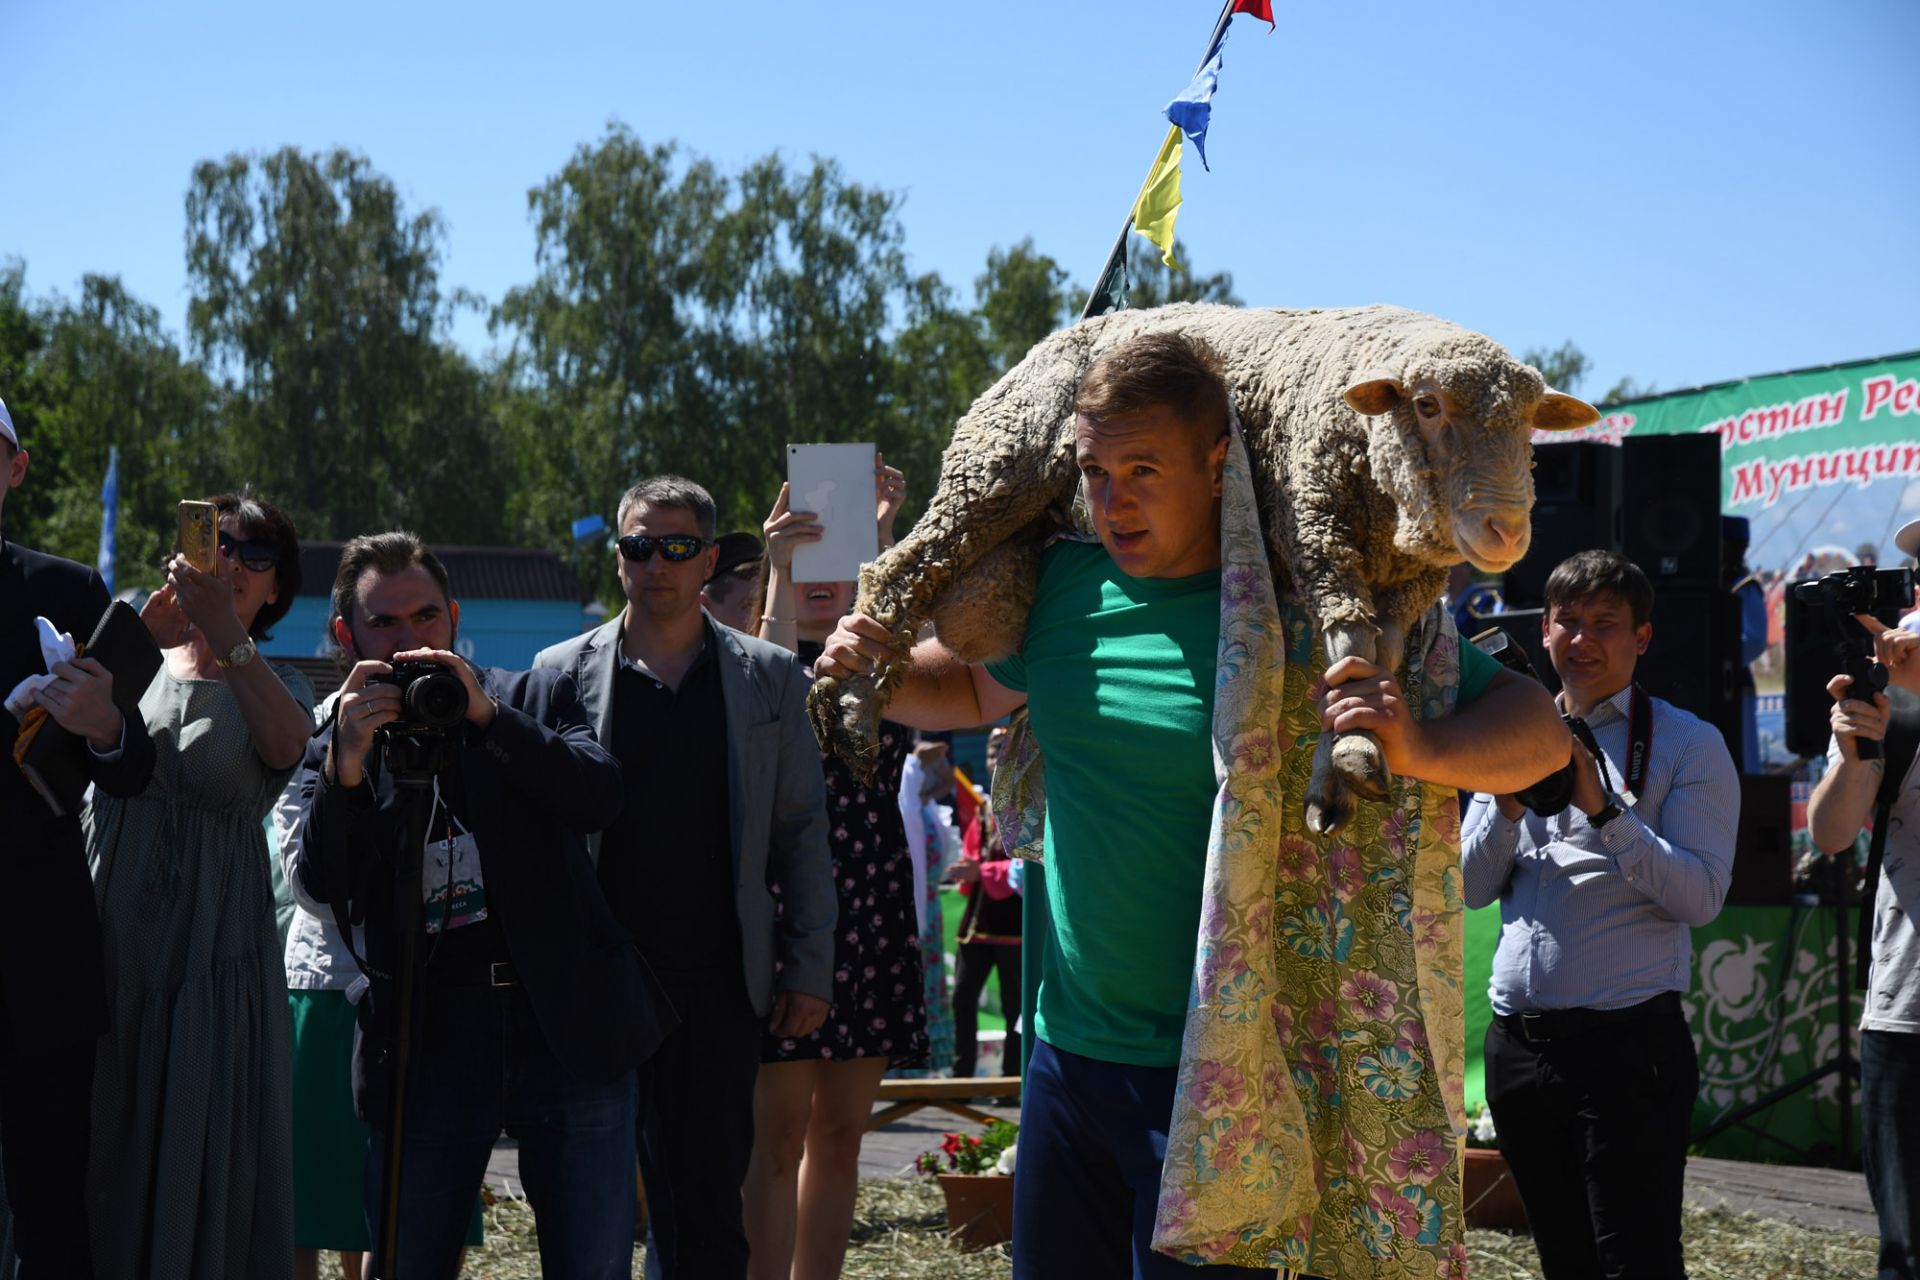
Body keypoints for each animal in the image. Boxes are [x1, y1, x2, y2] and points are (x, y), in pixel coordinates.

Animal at [817, 305, 1597, 836]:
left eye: (1531, 421)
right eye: (1429, 405)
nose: (1507, 531)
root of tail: (1045, 344)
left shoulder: (1408, 583)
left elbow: (1375, 659)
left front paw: (1343, 765)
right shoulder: (1315, 529)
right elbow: (1348, 642)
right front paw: (1349, 754)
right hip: (993, 471)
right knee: (894, 572)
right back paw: (848, 707)